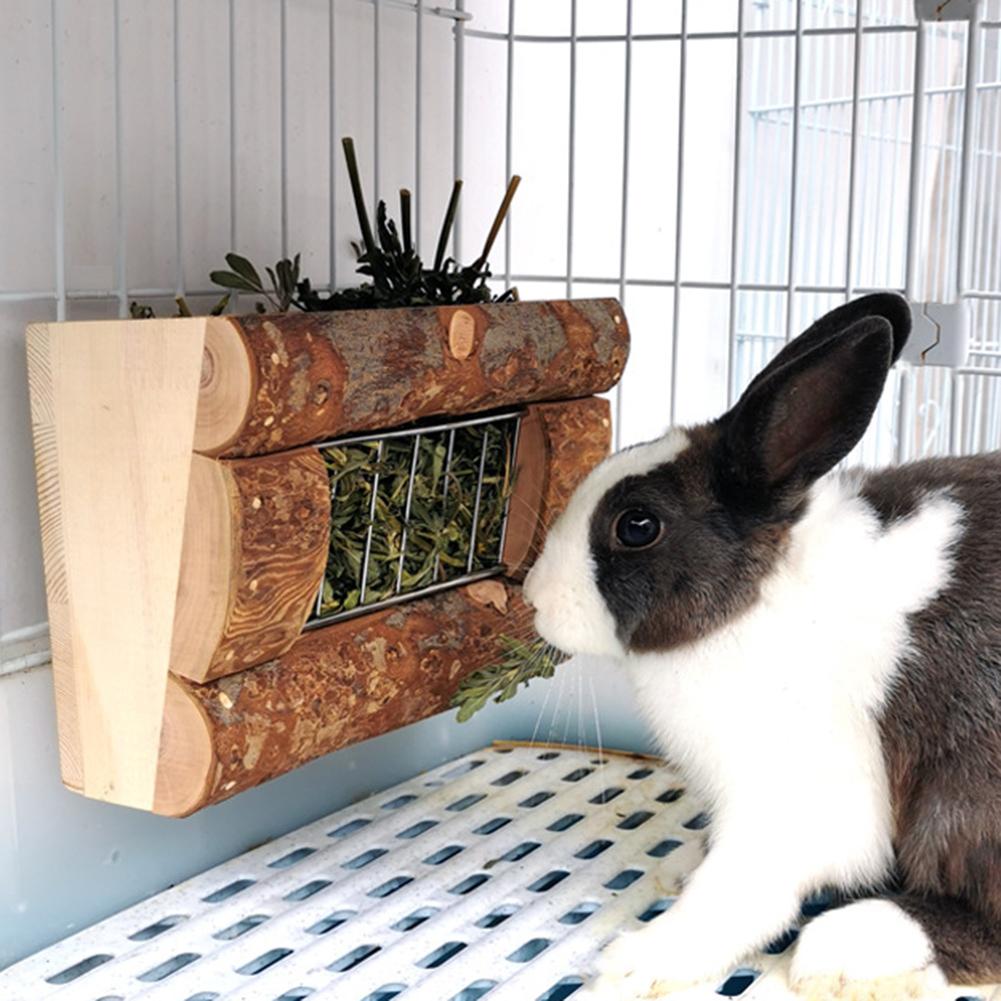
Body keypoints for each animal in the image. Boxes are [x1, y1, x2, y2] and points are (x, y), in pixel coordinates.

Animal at [523, 292, 1001, 1001]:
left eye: (637, 526)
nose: (533, 599)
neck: (758, 598)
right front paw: (681, 869)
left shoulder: (785, 802)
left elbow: (734, 894)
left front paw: (641, 959)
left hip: (965, 797)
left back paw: (845, 946)